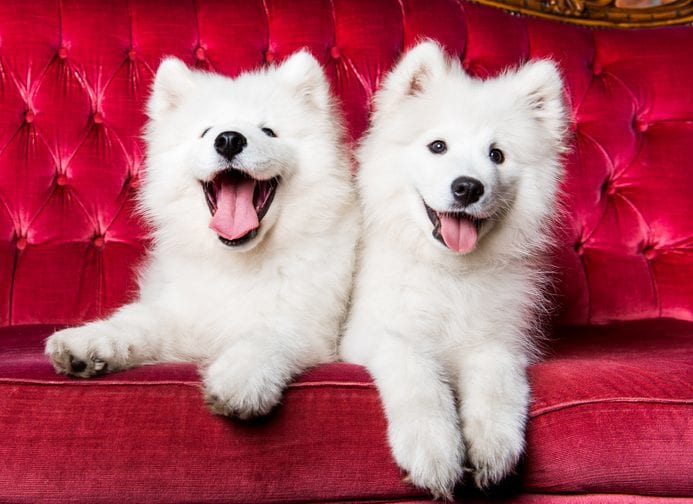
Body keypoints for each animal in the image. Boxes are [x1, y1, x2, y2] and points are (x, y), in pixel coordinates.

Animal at [44, 52, 356, 422]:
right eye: (206, 132)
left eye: (268, 131)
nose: (229, 139)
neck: (239, 262)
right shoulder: (185, 316)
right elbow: (138, 322)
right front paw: (90, 340)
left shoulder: (309, 328)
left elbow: (267, 335)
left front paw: (239, 378)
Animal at [340, 41, 568, 498]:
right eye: (438, 146)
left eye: (497, 155)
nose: (467, 187)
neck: (450, 273)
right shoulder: (375, 335)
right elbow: (417, 378)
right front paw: (434, 450)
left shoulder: (499, 342)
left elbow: (498, 381)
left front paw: (494, 445)